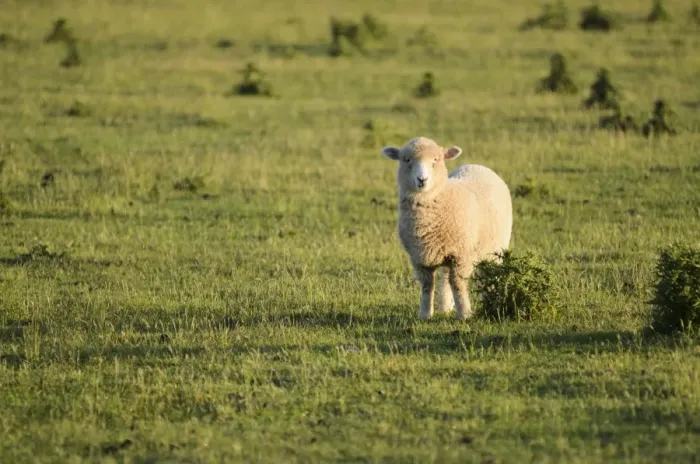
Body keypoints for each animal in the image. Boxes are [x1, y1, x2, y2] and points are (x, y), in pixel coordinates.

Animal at [382, 136, 513, 320]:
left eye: (436, 160)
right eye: (407, 160)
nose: (422, 180)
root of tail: (477, 166)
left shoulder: (462, 254)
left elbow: (457, 284)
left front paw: (464, 314)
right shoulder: (419, 258)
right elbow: (427, 285)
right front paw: (425, 314)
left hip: (496, 247)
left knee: (491, 272)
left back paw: (493, 298)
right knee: (445, 278)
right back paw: (445, 307)